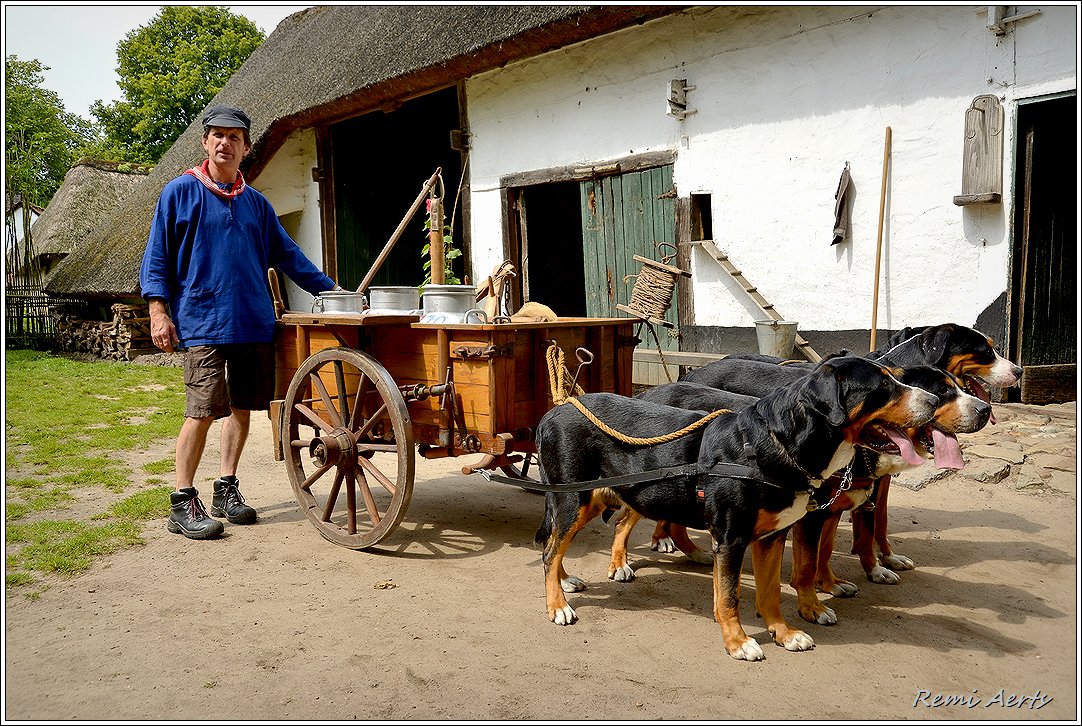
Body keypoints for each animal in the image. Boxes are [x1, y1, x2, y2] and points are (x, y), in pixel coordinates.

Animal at [532, 354, 939, 662]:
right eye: (882, 387)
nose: (933, 402)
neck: (771, 446)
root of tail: (555, 411)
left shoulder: (772, 537)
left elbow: (770, 590)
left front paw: (784, 632)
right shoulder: (731, 539)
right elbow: (728, 597)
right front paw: (738, 642)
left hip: (586, 499)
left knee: (557, 545)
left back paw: (566, 581)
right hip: (573, 499)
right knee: (551, 550)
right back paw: (557, 605)